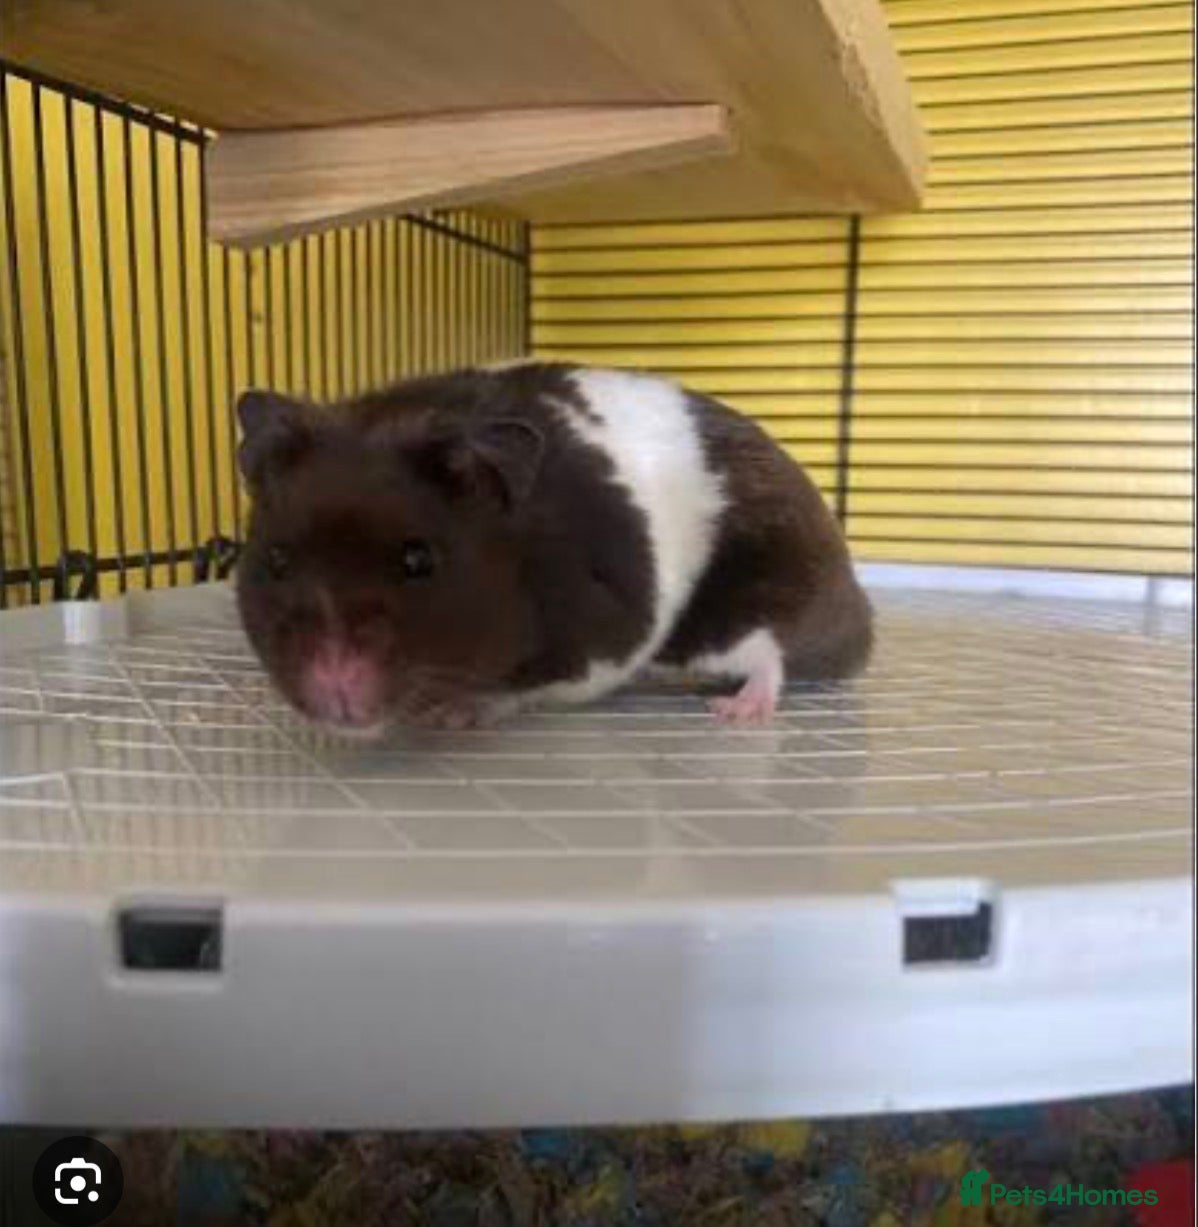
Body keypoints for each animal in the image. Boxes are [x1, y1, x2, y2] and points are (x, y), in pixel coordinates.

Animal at [234, 362, 872, 734]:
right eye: (276, 562)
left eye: (419, 560)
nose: (334, 689)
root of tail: (854, 610)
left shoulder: (600, 642)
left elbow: (525, 689)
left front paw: (455, 713)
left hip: (734, 607)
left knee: (767, 655)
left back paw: (737, 712)